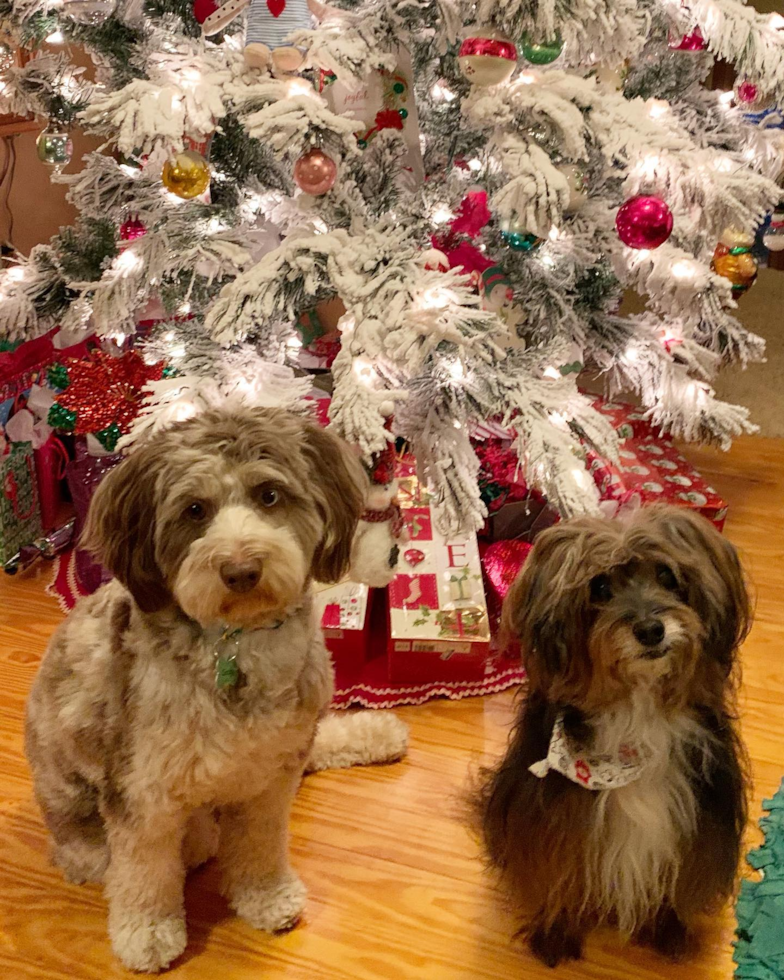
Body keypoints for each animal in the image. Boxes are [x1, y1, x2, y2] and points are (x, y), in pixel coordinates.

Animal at [26, 408, 404, 972]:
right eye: (194, 510)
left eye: (269, 495)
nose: (241, 570)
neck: (237, 647)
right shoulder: (143, 792)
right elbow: (144, 873)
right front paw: (148, 933)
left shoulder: (272, 773)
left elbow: (262, 844)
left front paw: (266, 895)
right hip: (82, 810)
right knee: (126, 854)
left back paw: (379, 731)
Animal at [474, 510, 752, 968]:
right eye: (600, 588)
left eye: (667, 576)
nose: (651, 630)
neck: (636, 713)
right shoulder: (555, 824)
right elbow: (559, 874)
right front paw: (555, 932)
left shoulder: (698, 829)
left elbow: (678, 879)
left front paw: (669, 929)